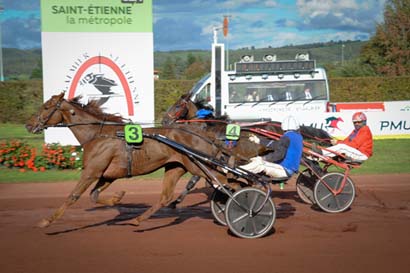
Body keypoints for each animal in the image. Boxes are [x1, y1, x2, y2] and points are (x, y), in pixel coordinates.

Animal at [26, 92, 253, 226]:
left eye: (46, 107)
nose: (29, 124)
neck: (99, 134)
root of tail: (202, 133)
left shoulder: (92, 171)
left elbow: (73, 196)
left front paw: (47, 221)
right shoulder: (107, 175)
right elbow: (94, 195)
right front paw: (118, 198)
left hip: (198, 166)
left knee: (228, 182)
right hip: (176, 166)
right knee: (167, 196)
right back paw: (138, 219)